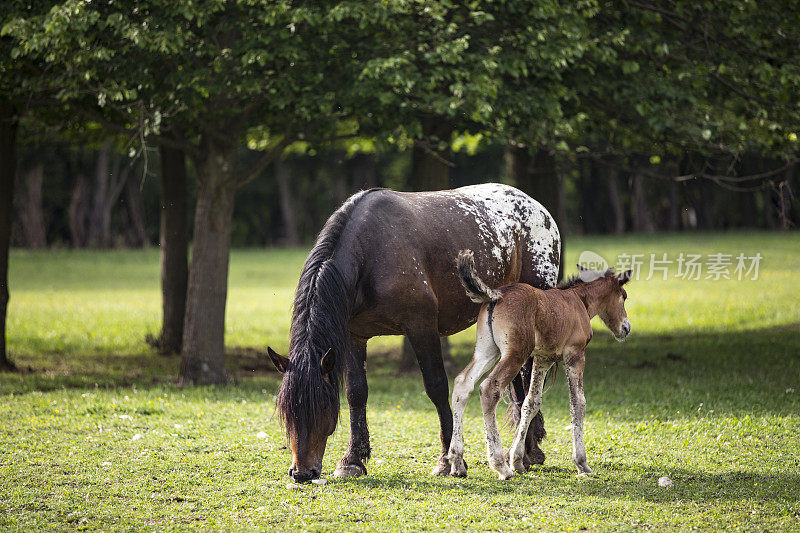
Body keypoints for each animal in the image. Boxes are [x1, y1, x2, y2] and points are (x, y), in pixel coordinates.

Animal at [266, 184, 560, 482]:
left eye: (323, 407)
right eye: (287, 412)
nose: (301, 472)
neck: (371, 253)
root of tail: (535, 206)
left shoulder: (422, 328)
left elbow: (437, 387)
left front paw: (448, 460)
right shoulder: (354, 336)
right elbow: (356, 392)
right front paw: (352, 460)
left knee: (528, 377)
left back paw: (529, 452)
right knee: (519, 381)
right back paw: (527, 450)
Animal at [450, 251, 632, 480]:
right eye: (624, 296)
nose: (626, 328)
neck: (578, 301)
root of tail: (496, 296)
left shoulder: (543, 359)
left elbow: (531, 402)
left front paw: (518, 460)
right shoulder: (575, 355)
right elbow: (578, 402)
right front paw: (582, 463)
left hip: (487, 350)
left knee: (463, 384)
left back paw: (456, 462)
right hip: (515, 354)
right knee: (489, 389)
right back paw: (500, 465)